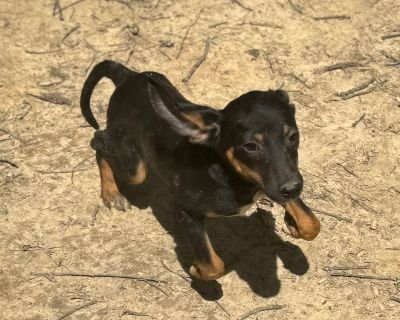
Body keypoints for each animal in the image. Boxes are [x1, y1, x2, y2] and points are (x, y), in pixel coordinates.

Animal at [79, 59, 320, 280]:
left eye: (293, 136)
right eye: (251, 146)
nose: (293, 188)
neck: (229, 174)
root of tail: (127, 76)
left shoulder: (274, 183)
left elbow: (312, 224)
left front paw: (293, 224)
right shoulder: (187, 210)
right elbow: (214, 266)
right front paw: (196, 270)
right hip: (134, 167)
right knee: (98, 141)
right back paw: (112, 193)